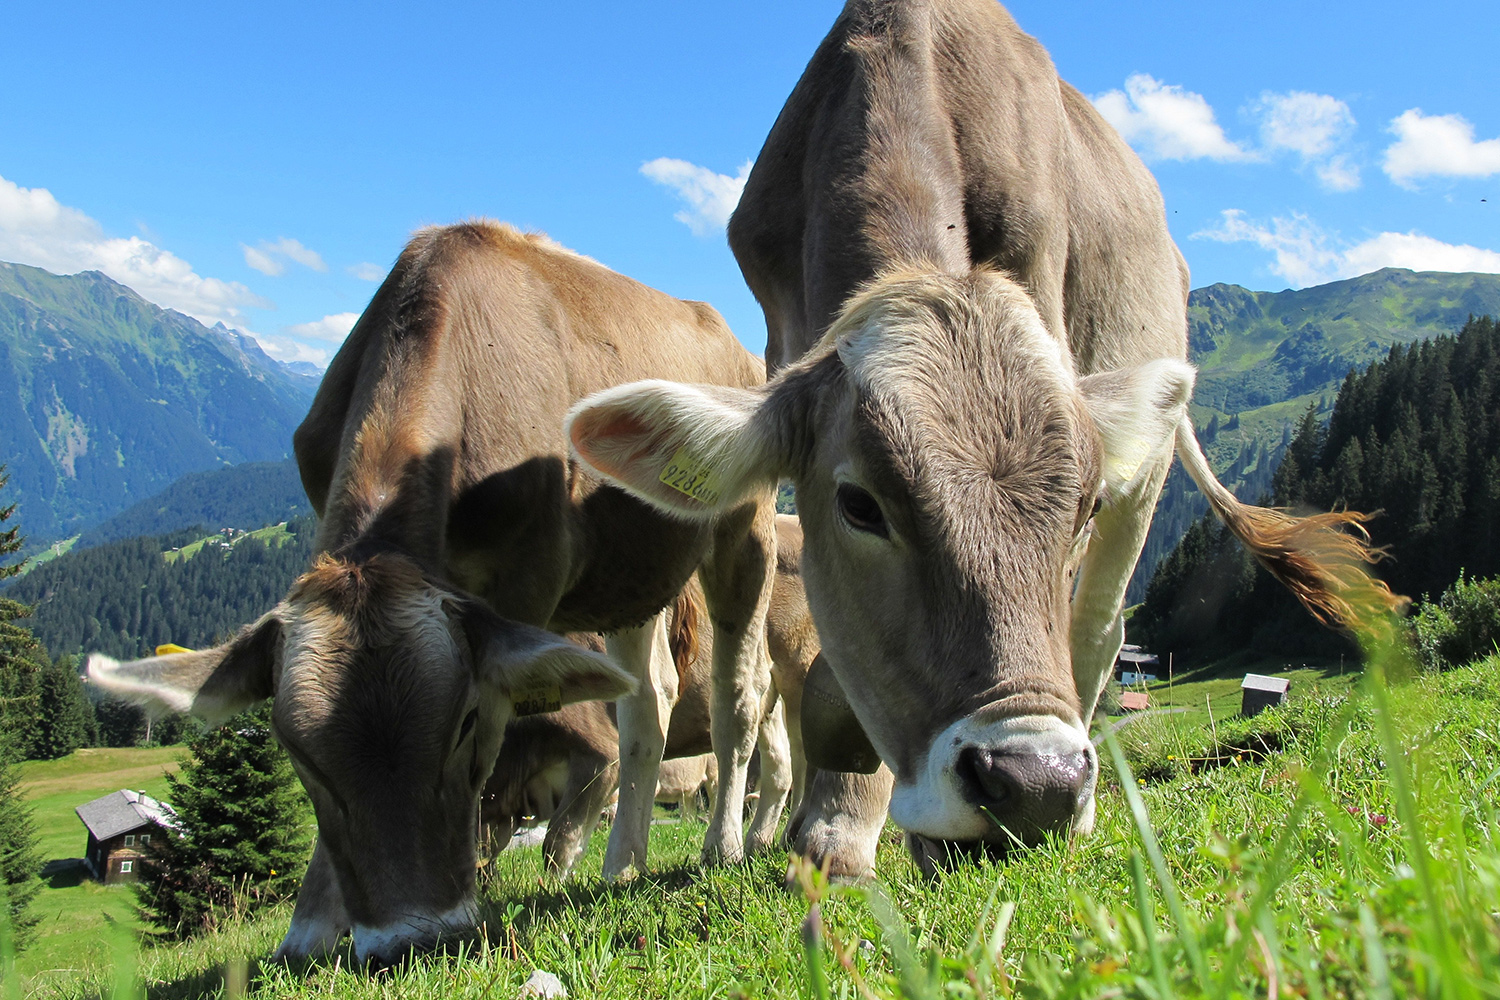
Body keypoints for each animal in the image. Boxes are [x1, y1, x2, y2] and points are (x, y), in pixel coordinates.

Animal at [85, 223, 774, 965]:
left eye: (464, 723)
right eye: (297, 753)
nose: (410, 939)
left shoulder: (525, 584)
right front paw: (311, 927)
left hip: (744, 528)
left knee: (739, 695)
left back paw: (723, 846)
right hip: (628, 575)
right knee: (648, 702)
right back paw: (623, 863)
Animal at [567, 0, 1398, 875]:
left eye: (1083, 507)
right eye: (859, 505)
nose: (1036, 783)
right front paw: (835, 828)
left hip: (1148, 466)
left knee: (1101, 626)